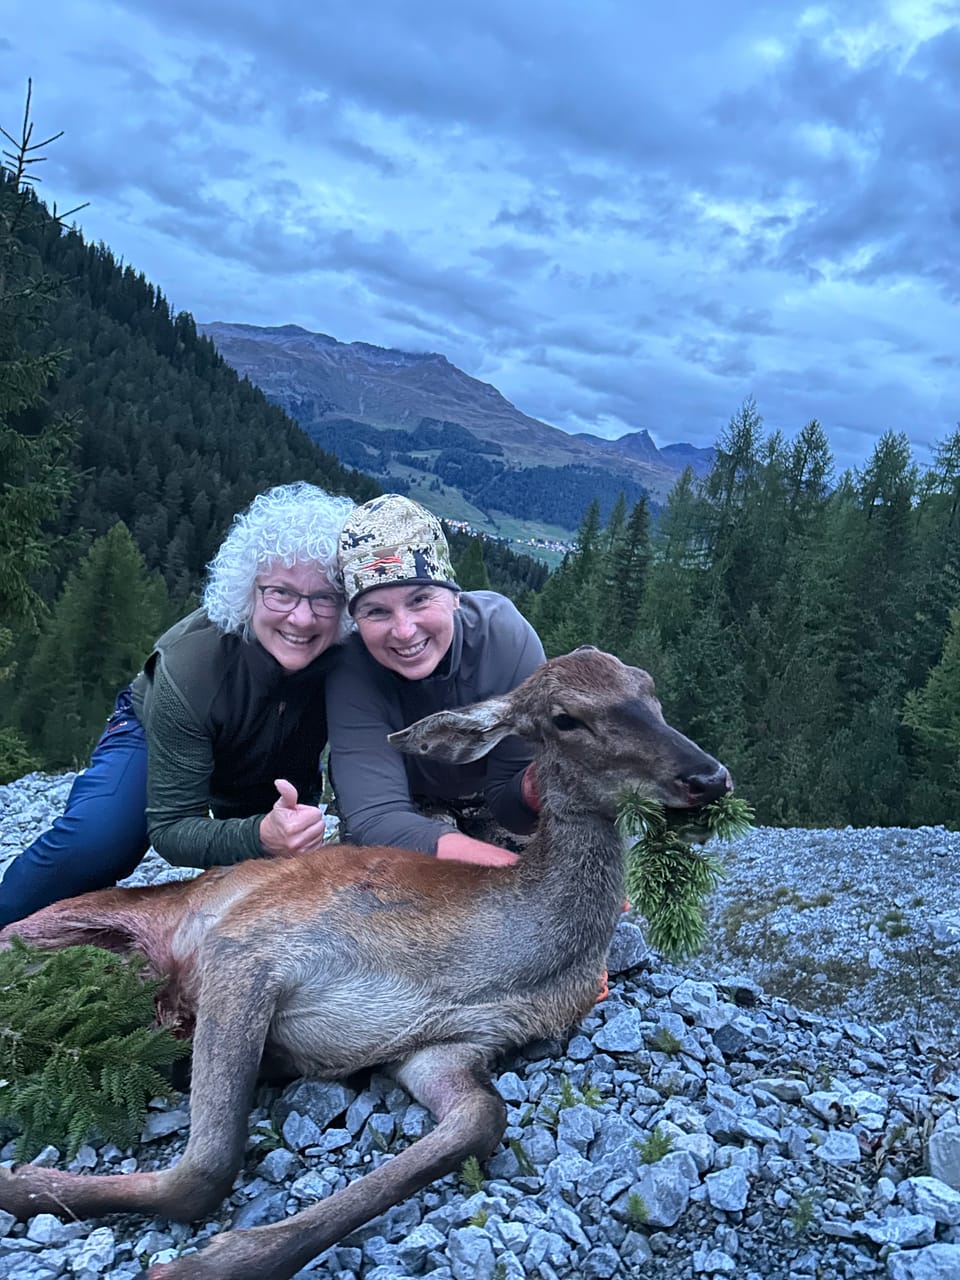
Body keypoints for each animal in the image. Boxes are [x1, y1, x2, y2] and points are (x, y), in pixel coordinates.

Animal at [0, 650, 727, 1280]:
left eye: (650, 691)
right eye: (565, 718)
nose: (709, 776)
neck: (496, 955)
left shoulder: (444, 1046)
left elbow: (482, 1122)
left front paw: (227, 1257)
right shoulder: (250, 944)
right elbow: (205, 1168)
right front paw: (28, 1185)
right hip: (62, 928)